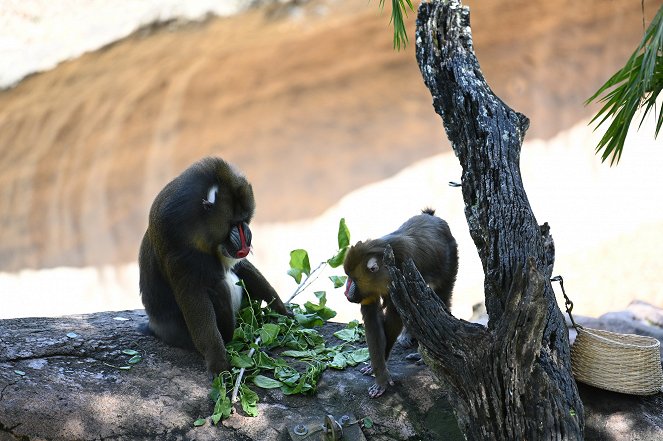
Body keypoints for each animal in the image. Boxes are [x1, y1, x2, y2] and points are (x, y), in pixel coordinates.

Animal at [342, 208, 456, 398]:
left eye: (352, 279)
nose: (345, 290)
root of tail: (431, 217)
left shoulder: (401, 274)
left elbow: (394, 318)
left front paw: (381, 379)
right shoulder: (370, 292)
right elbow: (373, 322)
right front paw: (378, 372)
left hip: (449, 261)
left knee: (441, 296)